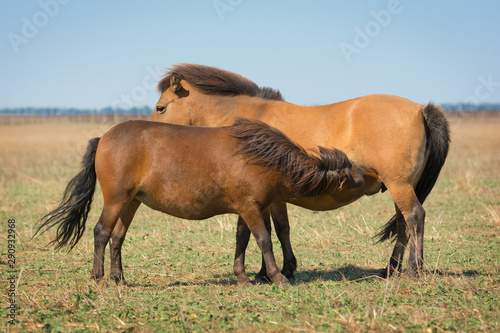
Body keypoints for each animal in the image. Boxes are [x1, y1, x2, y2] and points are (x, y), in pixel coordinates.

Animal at [35, 118, 378, 284]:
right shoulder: (251, 207)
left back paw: (120, 279)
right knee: (101, 233)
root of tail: (104, 137)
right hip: (116, 200)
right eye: (356, 175)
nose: (378, 178)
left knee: (117, 237)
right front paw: (278, 276)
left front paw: (243, 277)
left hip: (131, 203)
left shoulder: (246, 207)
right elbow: (264, 240)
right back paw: (99, 278)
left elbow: (242, 240)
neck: (262, 157)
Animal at [147, 63, 450, 278]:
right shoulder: (271, 196)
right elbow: (280, 229)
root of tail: (420, 110)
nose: (151, 133)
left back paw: (413, 270)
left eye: (161, 107)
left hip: (399, 185)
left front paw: (269, 273)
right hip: (402, 186)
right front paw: (283, 269)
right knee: (403, 224)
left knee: (414, 217)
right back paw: (390, 269)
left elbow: (269, 231)